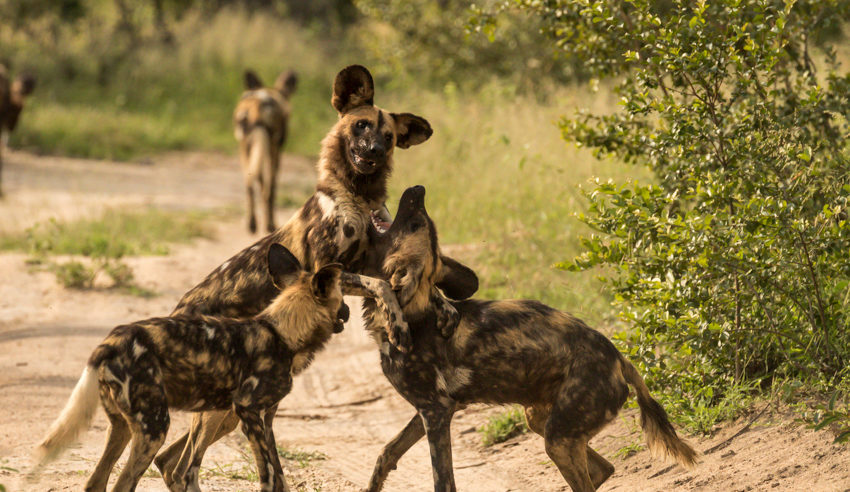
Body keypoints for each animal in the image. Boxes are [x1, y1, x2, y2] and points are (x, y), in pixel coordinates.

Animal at [34, 245, 352, 492]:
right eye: (342, 300)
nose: (348, 311)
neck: (281, 332)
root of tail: (111, 342)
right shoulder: (248, 410)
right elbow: (269, 477)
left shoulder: (263, 417)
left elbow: (279, 477)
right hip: (156, 428)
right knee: (129, 482)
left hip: (124, 428)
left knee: (97, 482)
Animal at [232, 68, 298, 234]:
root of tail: (257, 103)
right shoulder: (275, 151)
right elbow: (271, 190)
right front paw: (270, 224)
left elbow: (261, 186)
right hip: (268, 148)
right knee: (267, 189)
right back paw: (268, 226)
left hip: (245, 148)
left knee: (249, 184)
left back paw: (252, 224)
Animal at [358, 185, 696, 492]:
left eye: (416, 224)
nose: (418, 188)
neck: (411, 315)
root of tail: (619, 359)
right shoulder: (430, 410)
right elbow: (387, 452)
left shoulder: (437, 411)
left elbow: (443, 481)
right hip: (541, 421)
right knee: (603, 470)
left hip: (558, 438)